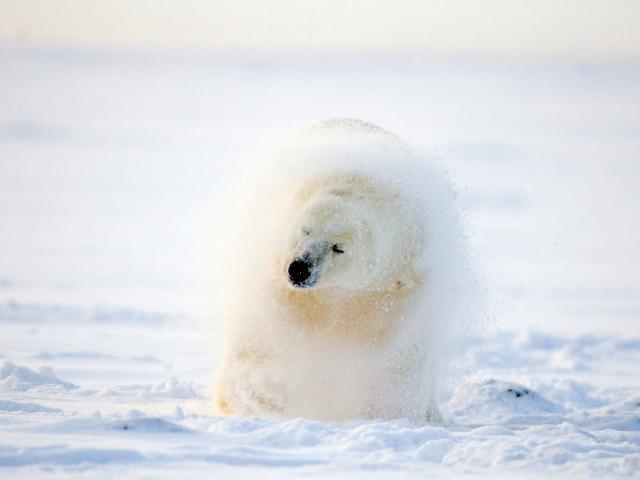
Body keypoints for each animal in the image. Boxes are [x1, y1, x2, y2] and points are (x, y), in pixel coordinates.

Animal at [212, 118, 459, 423]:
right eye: (305, 229)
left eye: (338, 247)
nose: (299, 269)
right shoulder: (272, 264)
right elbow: (261, 335)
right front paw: (261, 393)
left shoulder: (400, 279)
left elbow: (396, 357)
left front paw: (386, 411)